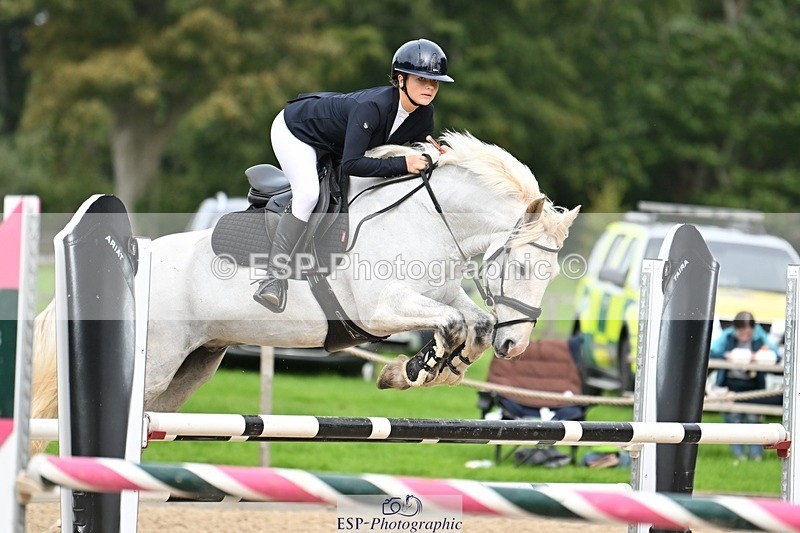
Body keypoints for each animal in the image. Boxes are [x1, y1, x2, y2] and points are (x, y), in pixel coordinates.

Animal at [30, 131, 580, 430]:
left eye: (553, 272)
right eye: (523, 268)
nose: (516, 346)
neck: (429, 215)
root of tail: (132, 261)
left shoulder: (437, 294)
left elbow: (474, 322)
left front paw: (426, 368)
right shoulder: (379, 308)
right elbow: (451, 323)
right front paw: (419, 367)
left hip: (189, 369)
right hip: (156, 364)